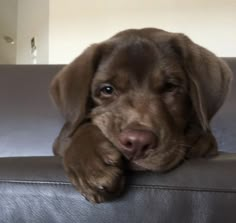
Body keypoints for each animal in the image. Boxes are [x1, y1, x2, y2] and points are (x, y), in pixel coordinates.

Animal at [49, 27, 232, 202]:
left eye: (170, 87)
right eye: (107, 89)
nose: (137, 142)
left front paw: (195, 139)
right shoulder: (63, 137)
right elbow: (80, 128)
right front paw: (92, 166)